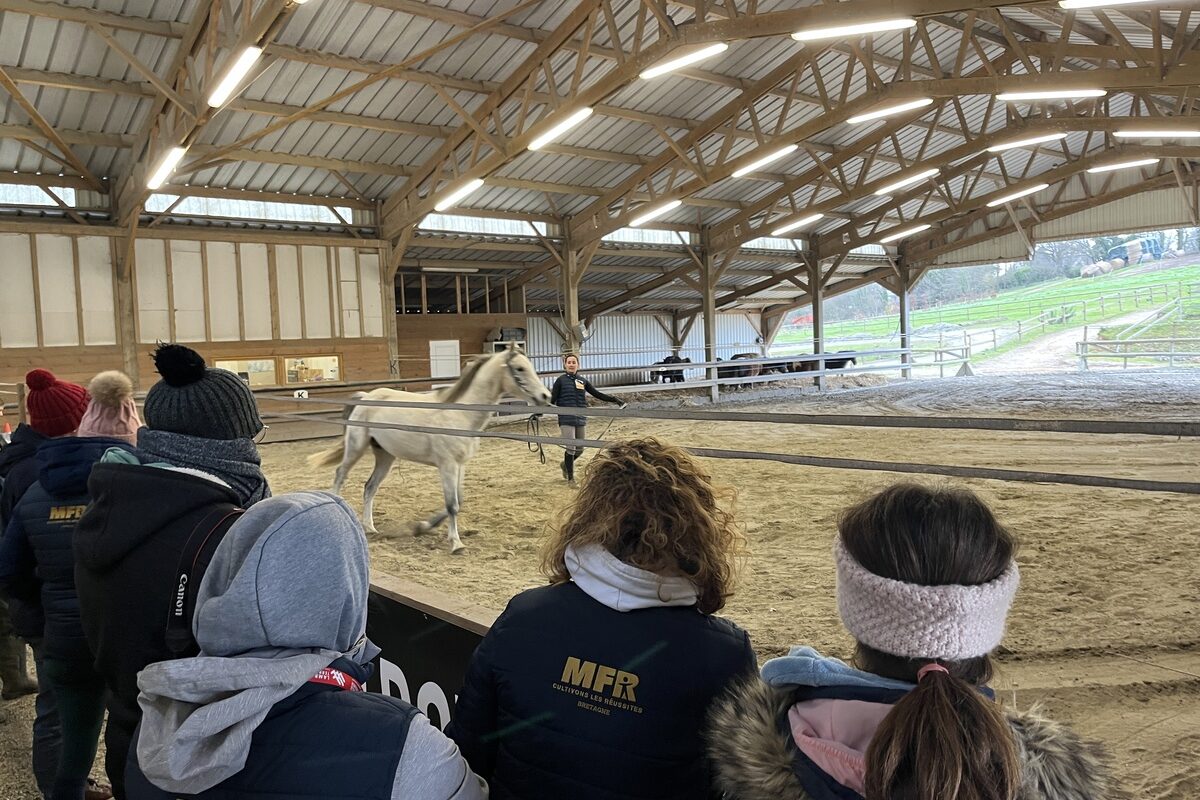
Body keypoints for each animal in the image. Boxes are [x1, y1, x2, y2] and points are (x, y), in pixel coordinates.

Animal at [309, 345, 552, 556]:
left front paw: (423, 526)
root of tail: (366, 397)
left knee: (370, 487)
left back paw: (370, 528)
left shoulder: (460, 465)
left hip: (385, 456)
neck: (461, 414)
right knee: (340, 475)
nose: (545, 396)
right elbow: (452, 504)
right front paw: (456, 544)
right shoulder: (447, 465)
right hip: (356, 447)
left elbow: (458, 501)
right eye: (519, 368)